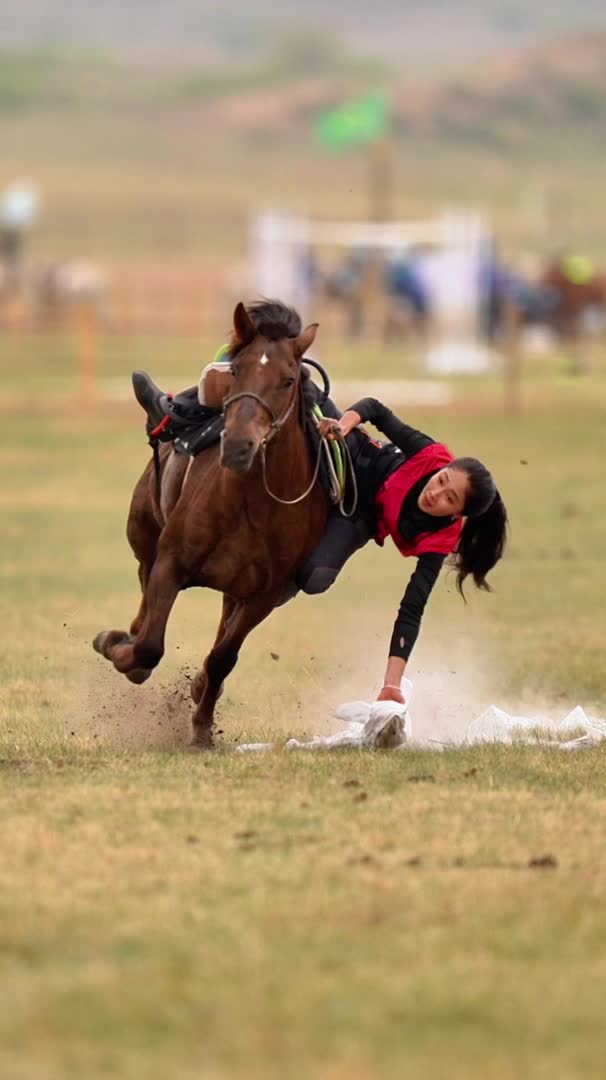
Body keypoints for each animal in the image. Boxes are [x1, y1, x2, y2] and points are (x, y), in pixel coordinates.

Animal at [93, 300, 328, 747]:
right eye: (234, 371)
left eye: (288, 380)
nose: (237, 445)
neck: (250, 505)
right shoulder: (171, 563)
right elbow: (149, 645)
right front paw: (118, 648)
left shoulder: (263, 595)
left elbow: (222, 657)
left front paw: (202, 725)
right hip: (145, 537)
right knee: (144, 604)